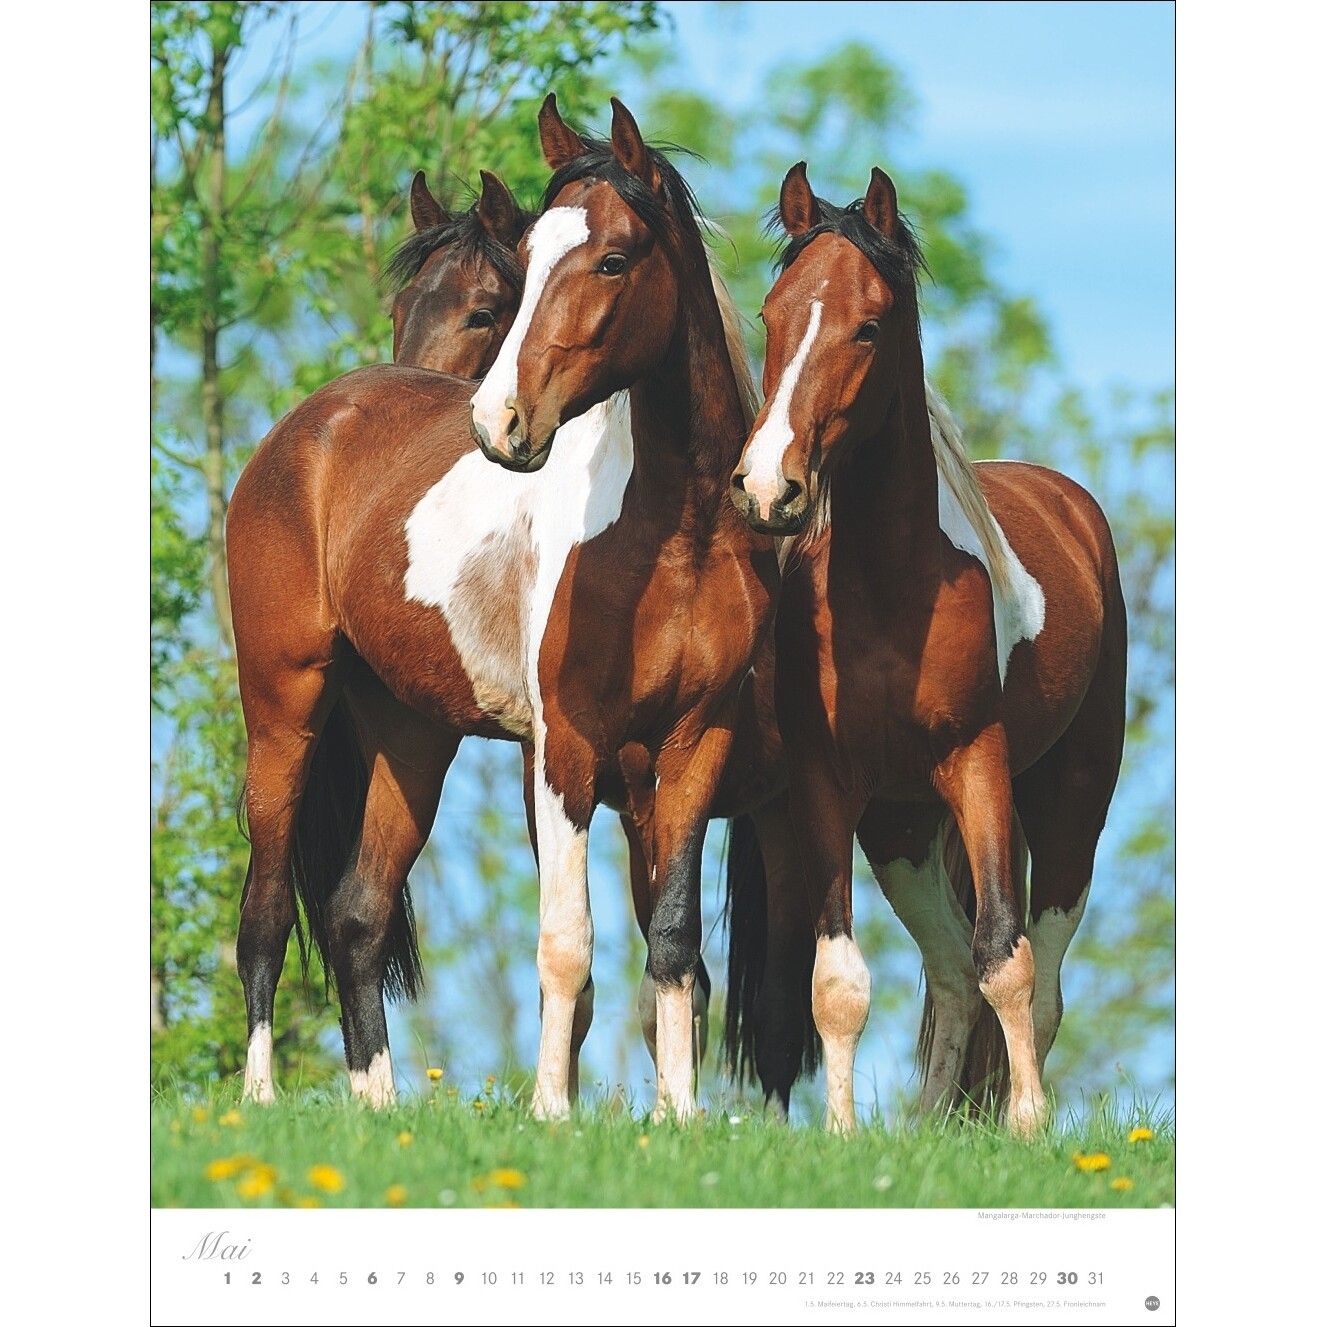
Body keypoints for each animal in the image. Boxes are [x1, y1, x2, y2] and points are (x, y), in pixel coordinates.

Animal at [226, 95, 776, 1121]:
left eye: (613, 259)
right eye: (524, 266)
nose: (499, 424)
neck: (673, 532)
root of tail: (308, 427)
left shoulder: (693, 746)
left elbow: (675, 940)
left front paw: (679, 1116)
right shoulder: (565, 749)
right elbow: (568, 941)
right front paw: (553, 1112)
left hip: (409, 734)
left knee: (356, 912)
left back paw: (378, 1105)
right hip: (283, 711)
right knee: (268, 912)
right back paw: (260, 1097)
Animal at [724, 163, 1127, 1135]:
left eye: (867, 323)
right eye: (771, 314)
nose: (766, 488)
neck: (889, 591)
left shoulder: (976, 764)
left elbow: (1006, 960)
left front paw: (1024, 1126)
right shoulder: (829, 787)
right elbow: (838, 978)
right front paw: (840, 1133)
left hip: (1070, 802)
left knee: (1038, 971)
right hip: (900, 831)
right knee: (946, 973)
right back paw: (931, 1122)